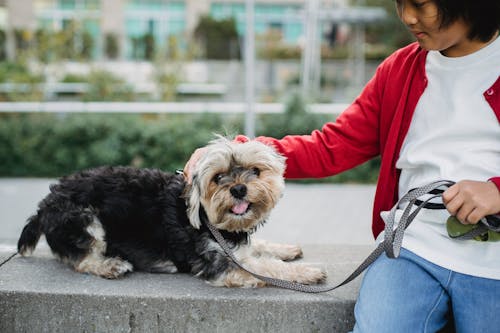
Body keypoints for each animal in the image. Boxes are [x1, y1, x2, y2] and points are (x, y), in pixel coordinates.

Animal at [16, 136, 328, 286]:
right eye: (218, 178)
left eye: (255, 171)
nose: (238, 189)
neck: (208, 219)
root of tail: (45, 205)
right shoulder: (220, 264)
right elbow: (265, 267)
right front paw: (307, 272)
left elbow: (260, 247)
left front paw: (285, 249)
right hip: (85, 217)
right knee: (81, 258)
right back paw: (110, 265)